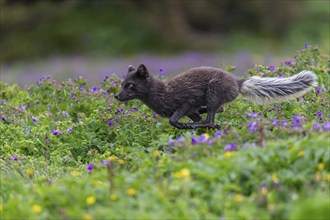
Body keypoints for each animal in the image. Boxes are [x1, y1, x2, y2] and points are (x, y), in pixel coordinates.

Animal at [114, 64, 316, 129]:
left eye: (130, 85)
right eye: (122, 84)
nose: (116, 96)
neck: (162, 93)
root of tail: (237, 82)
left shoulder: (187, 101)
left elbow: (173, 119)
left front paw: (184, 125)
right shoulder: (190, 109)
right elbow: (190, 115)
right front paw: (188, 123)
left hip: (213, 90)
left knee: (211, 118)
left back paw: (201, 125)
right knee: (219, 109)